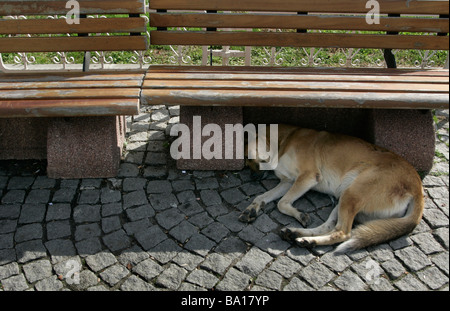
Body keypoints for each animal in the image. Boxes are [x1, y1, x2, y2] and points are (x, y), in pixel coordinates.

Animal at [241, 124, 424, 254]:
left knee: (343, 232)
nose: (251, 178)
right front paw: (252, 209)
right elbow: (262, 197)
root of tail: (418, 188)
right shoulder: (287, 181)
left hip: (352, 194)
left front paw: (299, 214)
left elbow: (282, 203)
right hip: (345, 196)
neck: (284, 141)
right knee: (329, 226)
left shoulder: (307, 177)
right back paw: (299, 235)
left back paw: (306, 238)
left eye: (248, 157)